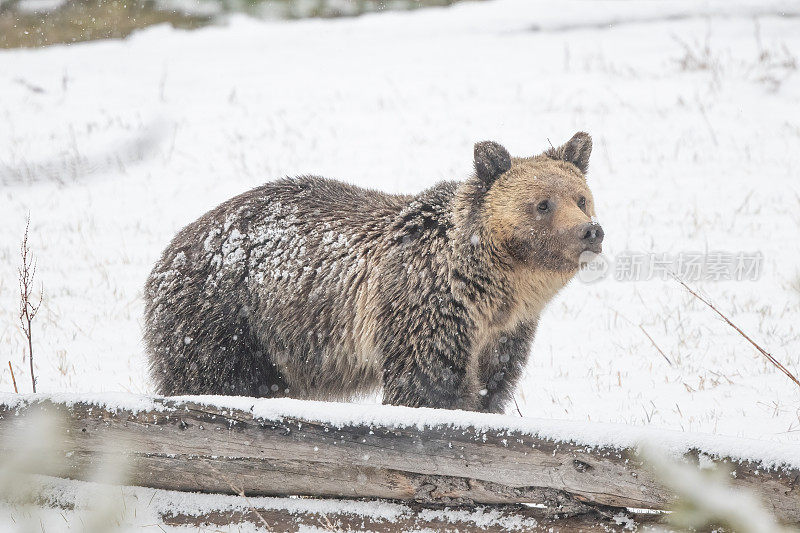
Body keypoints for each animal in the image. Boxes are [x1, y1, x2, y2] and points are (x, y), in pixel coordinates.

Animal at [144, 132, 604, 412]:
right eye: (542, 204)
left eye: (580, 198)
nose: (590, 231)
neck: (490, 289)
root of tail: (168, 253)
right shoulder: (426, 308)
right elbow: (425, 386)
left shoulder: (503, 334)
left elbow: (491, 388)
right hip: (229, 322)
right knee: (218, 378)